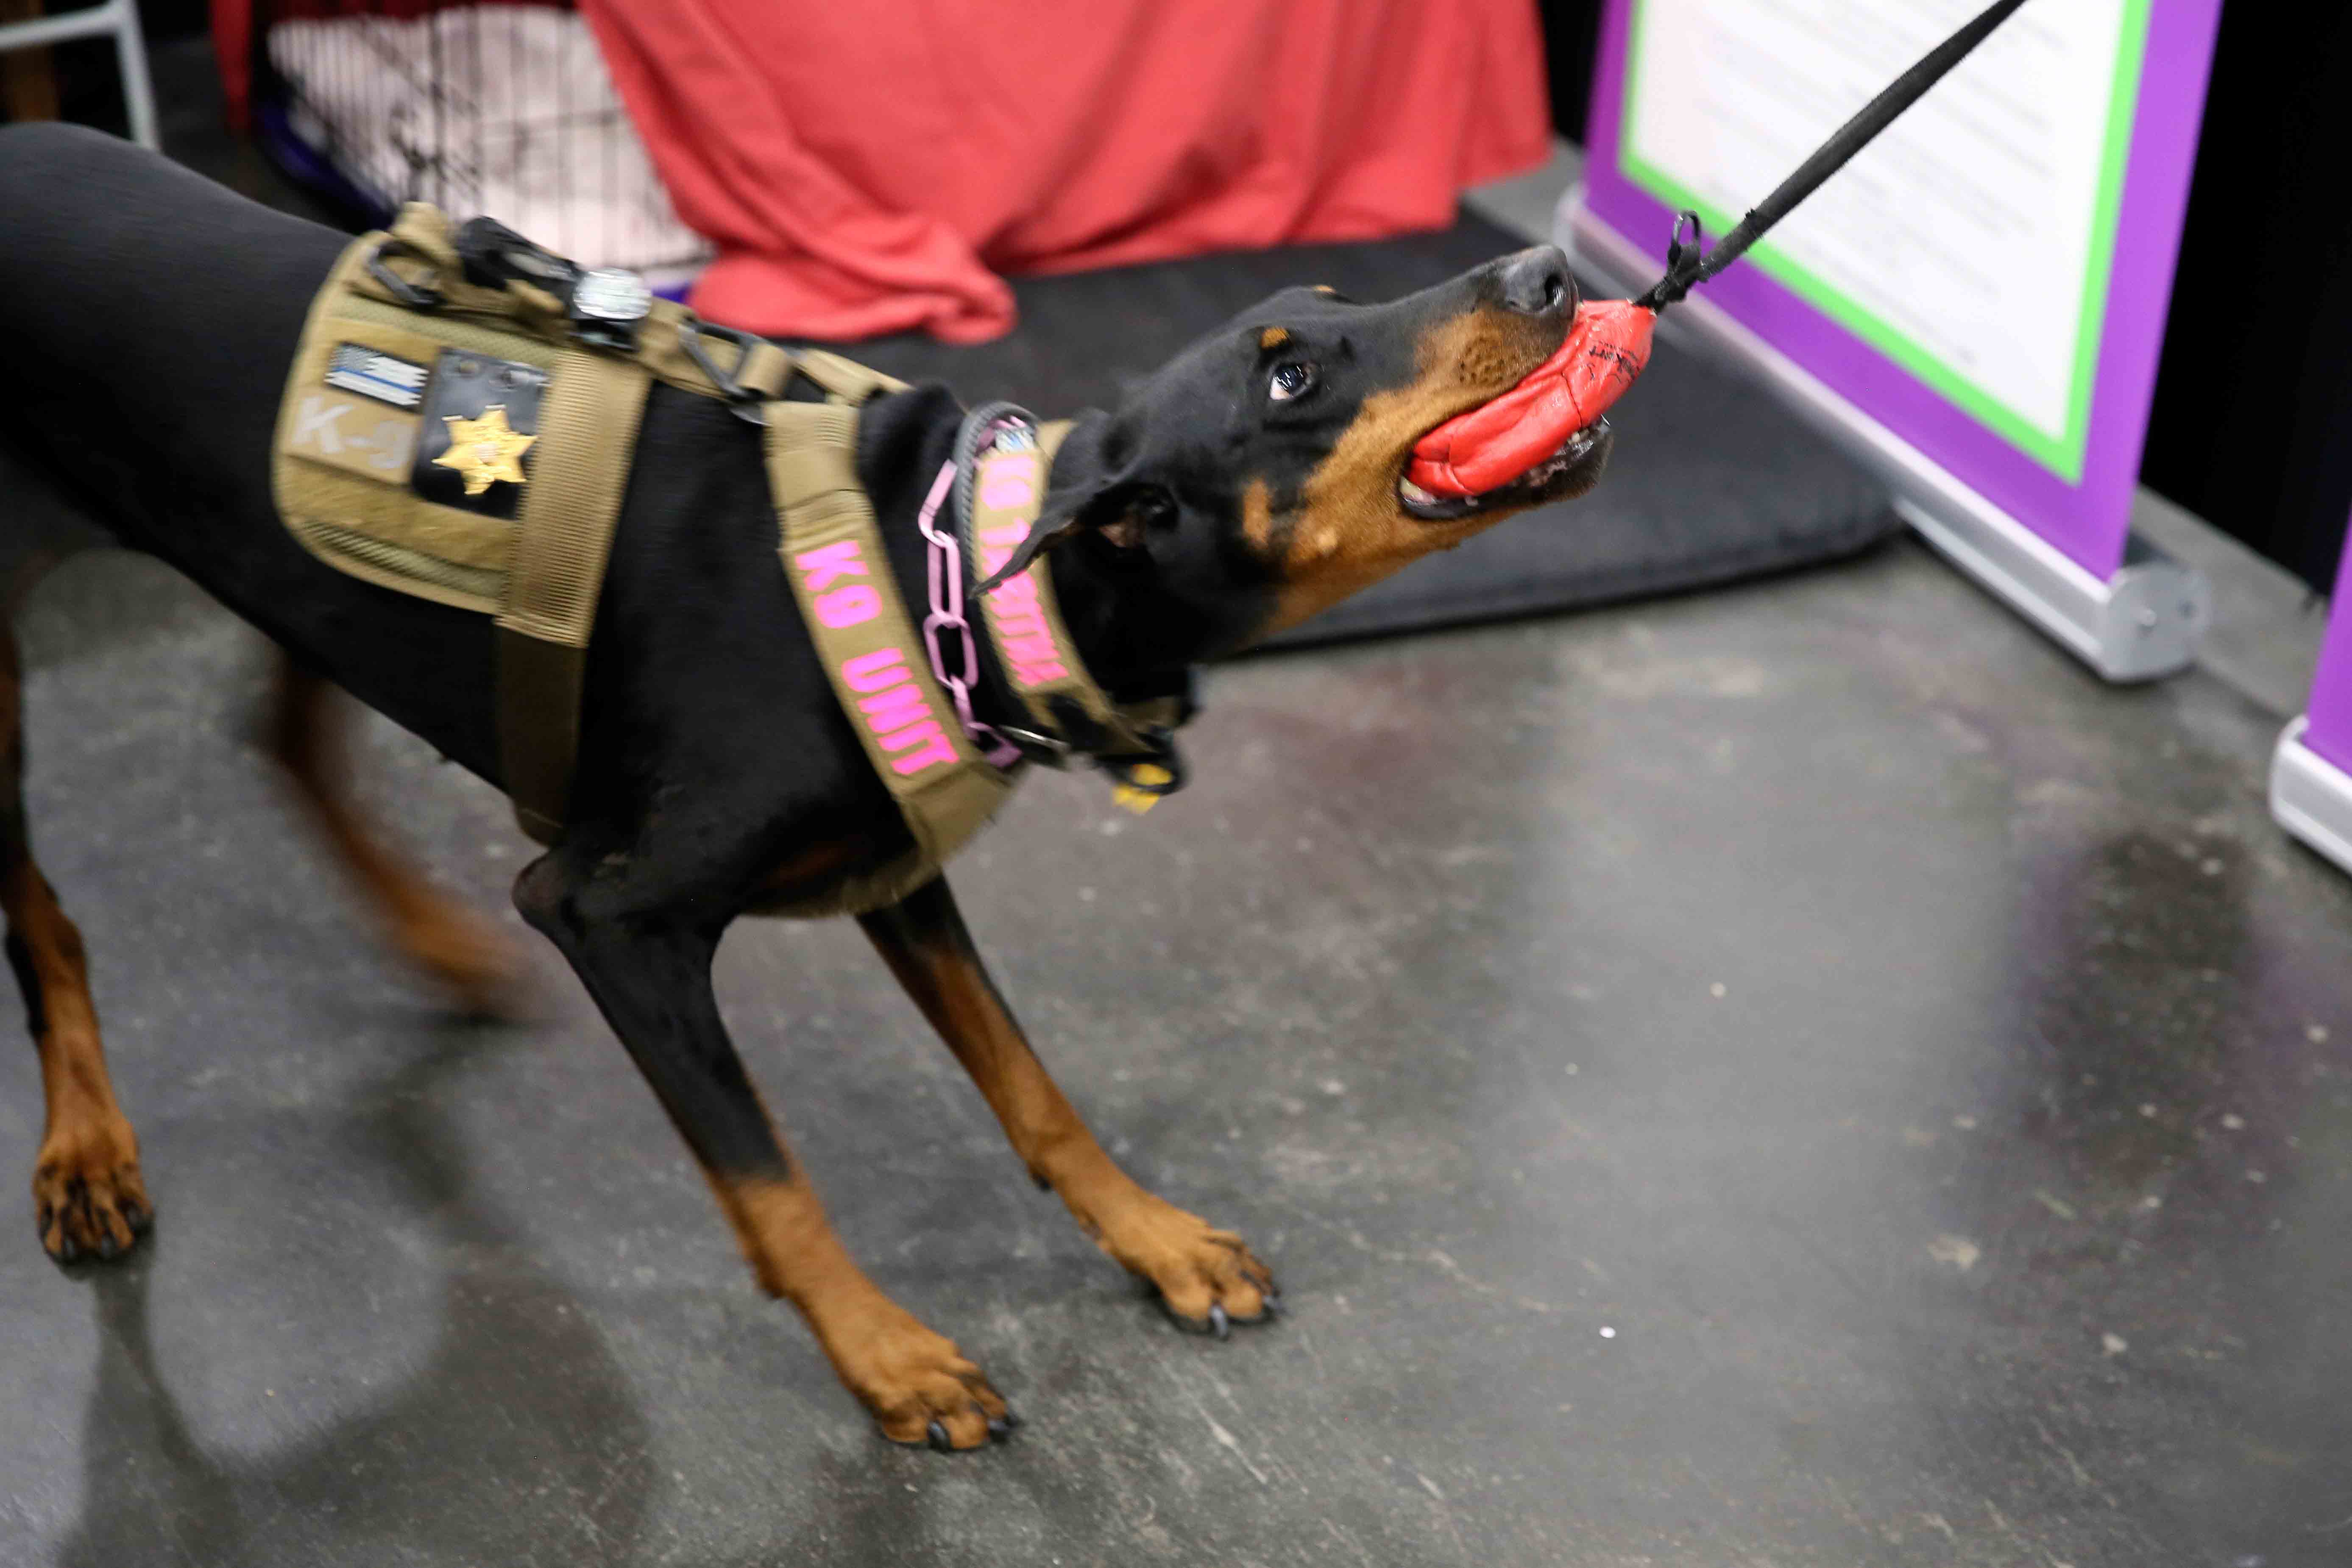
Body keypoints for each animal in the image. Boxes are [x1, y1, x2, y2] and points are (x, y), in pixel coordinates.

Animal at [0, 123, 1618, 1448]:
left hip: (303, 578)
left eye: (1342, 303)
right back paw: (88, 1149)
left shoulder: (895, 866)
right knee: (45, 913)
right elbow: (769, 1173)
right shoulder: (611, 913)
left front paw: (1155, 1238)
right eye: (1288, 374)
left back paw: (430, 942)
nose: (1550, 270)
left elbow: (1030, 1085)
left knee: (277, 735)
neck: (949, 563)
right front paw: (887, 1358)